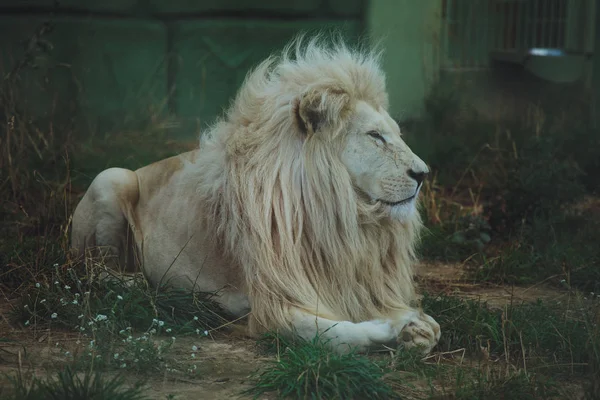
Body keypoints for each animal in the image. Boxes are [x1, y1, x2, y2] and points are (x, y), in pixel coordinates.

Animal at [72, 33, 442, 354]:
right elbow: (332, 334)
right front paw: (397, 329)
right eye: (375, 136)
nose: (423, 174)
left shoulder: (358, 285)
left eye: (395, 134)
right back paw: (136, 283)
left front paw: (417, 326)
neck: (346, 220)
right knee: (93, 270)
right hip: (110, 178)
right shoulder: (271, 305)